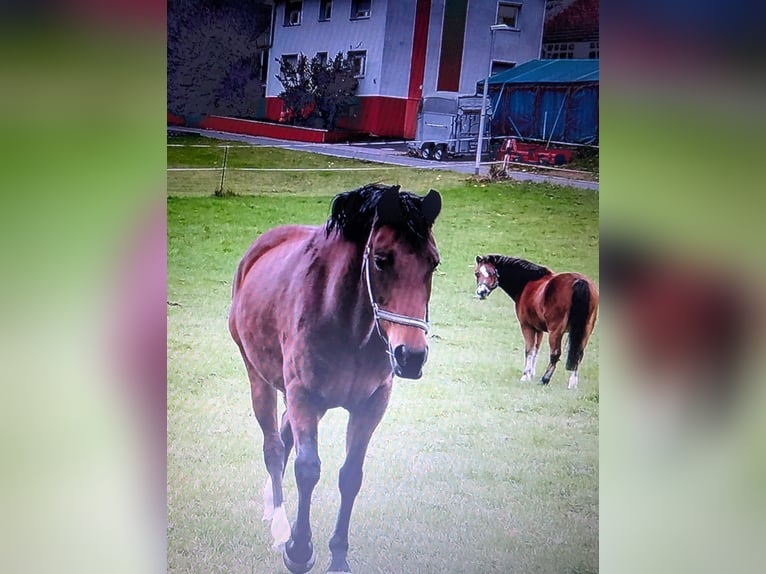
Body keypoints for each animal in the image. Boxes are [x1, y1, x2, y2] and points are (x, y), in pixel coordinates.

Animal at [230, 184, 444, 574]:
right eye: (381, 260)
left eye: (433, 262)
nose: (410, 356)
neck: (348, 327)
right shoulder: (303, 394)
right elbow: (307, 469)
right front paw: (299, 550)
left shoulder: (370, 405)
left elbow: (351, 476)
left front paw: (339, 557)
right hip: (260, 379)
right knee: (274, 446)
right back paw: (279, 523)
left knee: (284, 436)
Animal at [474, 256, 600, 392]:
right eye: (477, 273)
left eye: (493, 273)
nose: (481, 292)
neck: (527, 283)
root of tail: (579, 281)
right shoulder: (538, 329)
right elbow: (535, 349)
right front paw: (531, 373)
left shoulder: (527, 326)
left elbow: (529, 350)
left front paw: (525, 376)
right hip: (586, 330)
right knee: (579, 353)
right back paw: (572, 383)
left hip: (555, 331)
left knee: (555, 354)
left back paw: (545, 379)